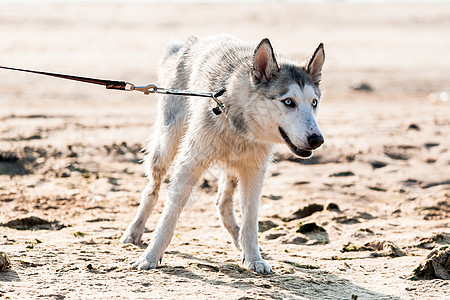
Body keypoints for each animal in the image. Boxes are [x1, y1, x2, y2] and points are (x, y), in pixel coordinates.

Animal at [120, 35, 324, 274]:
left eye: (314, 103)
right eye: (289, 102)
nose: (317, 139)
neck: (235, 120)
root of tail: (189, 42)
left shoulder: (254, 171)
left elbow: (250, 221)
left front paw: (253, 258)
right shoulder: (190, 163)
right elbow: (168, 216)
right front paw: (150, 256)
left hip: (234, 165)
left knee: (222, 202)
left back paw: (238, 239)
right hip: (166, 147)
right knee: (152, 189)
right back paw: (135, 230)